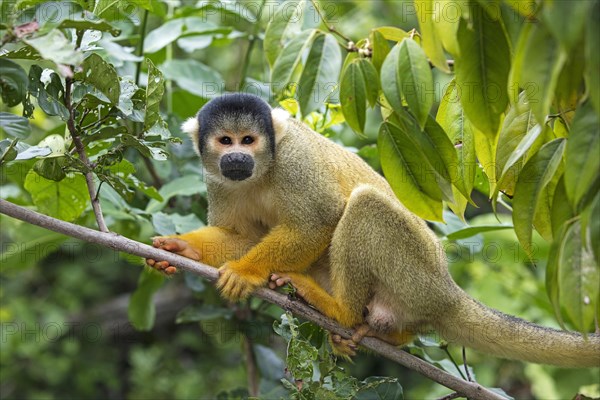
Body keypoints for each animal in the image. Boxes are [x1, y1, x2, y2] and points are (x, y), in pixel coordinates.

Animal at [146, 94, 600, 368]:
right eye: (225, 141)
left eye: (249, 140)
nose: (237, 158)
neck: (260, 170)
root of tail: (448, 291)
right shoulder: (216, 178)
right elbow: (242, 237)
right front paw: (181, 249)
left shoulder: (294, 159)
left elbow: (320, 218)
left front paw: (244, 272)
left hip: (416, 274)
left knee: (364, 206)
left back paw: (339, 311)